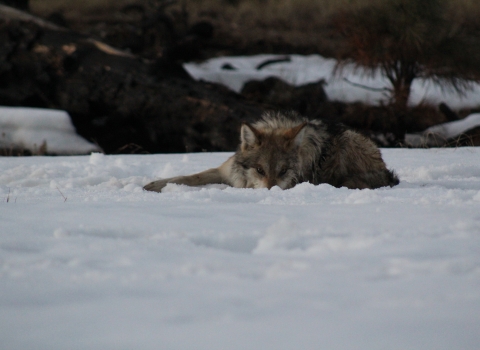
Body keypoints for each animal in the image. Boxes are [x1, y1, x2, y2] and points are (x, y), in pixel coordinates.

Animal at [144, 110, 400, 191]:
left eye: (283, 171)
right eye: (259, 170)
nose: (271, 192)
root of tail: (386, 169)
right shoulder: (224, 172)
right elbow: (189, 177)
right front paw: (154, 185)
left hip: (347, 141)